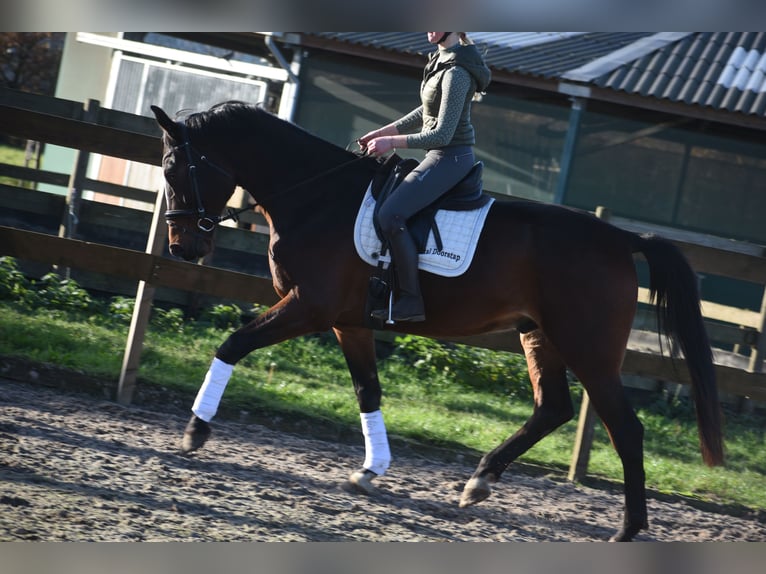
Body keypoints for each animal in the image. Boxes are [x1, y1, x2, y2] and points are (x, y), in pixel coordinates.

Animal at [150, 101, 723, 542]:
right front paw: (370, 471)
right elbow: (368, 391)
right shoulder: (348, 322)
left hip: (589, 349)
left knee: (624, 428)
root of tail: (621, 239)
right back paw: (479, 482)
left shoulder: (309, 306)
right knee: (553, 407)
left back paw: (627, 529)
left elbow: (232, 343)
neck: (316, 198)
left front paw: (195, 431)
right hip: (538, 335)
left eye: (176, 170)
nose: (182, 248)